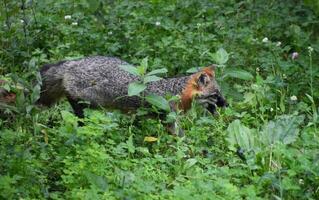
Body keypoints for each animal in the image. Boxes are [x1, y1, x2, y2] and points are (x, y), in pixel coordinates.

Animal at [37, 55, 228, 118]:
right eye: (216, 95)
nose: (226, 104)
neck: (174, 91)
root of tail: (72, 62)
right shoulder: (166, 118)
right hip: (92, 100)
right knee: (72, 98)